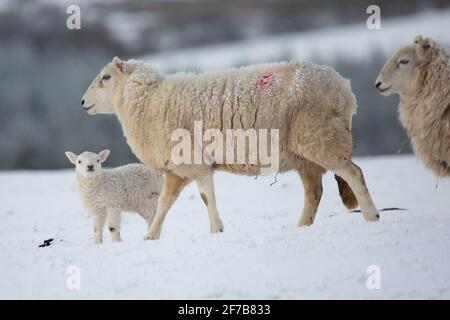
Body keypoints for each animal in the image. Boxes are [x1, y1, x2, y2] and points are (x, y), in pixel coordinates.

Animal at [81, 57, 380, 239]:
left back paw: (371, 216)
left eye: (106, 77)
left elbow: (205, 198)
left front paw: (216, 230)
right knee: (315, 192)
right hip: (306, 153)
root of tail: (344, 88)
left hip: (320, 136)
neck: (149, 101)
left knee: (353, 173)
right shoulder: (178, 169)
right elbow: (163, 204)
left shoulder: (195, 162)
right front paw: (150, 236)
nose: (83, 102)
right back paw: (302, 226)